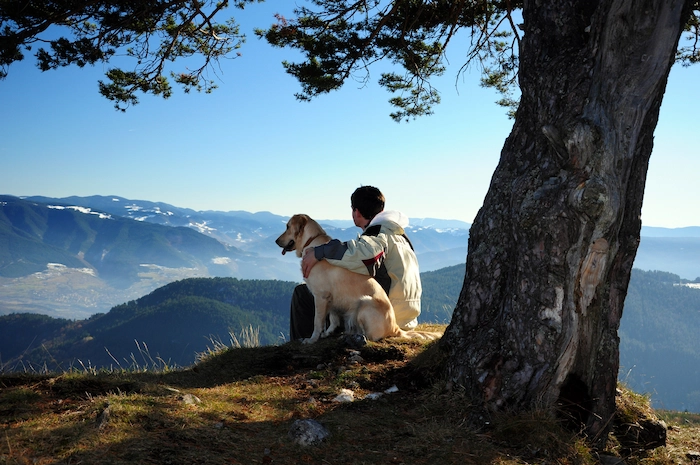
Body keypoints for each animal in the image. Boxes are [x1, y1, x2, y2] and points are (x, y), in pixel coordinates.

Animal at [276, 213, 440, 340]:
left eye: (287, 227)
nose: (276, 241)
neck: (310, 242)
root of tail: (396, 328)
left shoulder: (321, 296)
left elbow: (317, 322)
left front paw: (312, 339)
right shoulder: (332, 298)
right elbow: (333, 319)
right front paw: (328, 333)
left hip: (364, 303)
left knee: (372, 336)